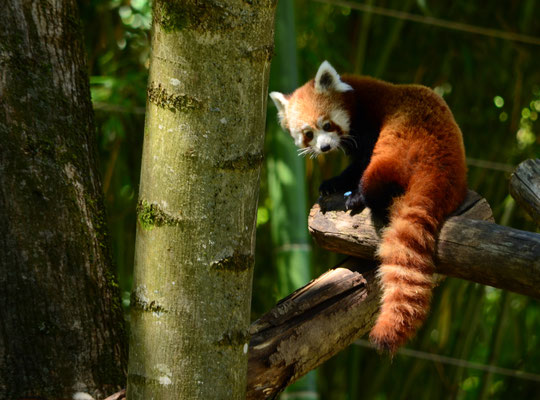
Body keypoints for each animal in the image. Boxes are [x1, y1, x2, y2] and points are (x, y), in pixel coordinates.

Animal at [270, 60, 468, 354]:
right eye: (308, 134)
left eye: (327, 124)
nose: (325, 147)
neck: (356, 98)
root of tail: (440, 167)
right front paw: (330, 183)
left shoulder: (368, 125)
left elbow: (360, 162)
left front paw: (341, 184)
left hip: (401, 143)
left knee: (376, 175)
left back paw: (360, 197)